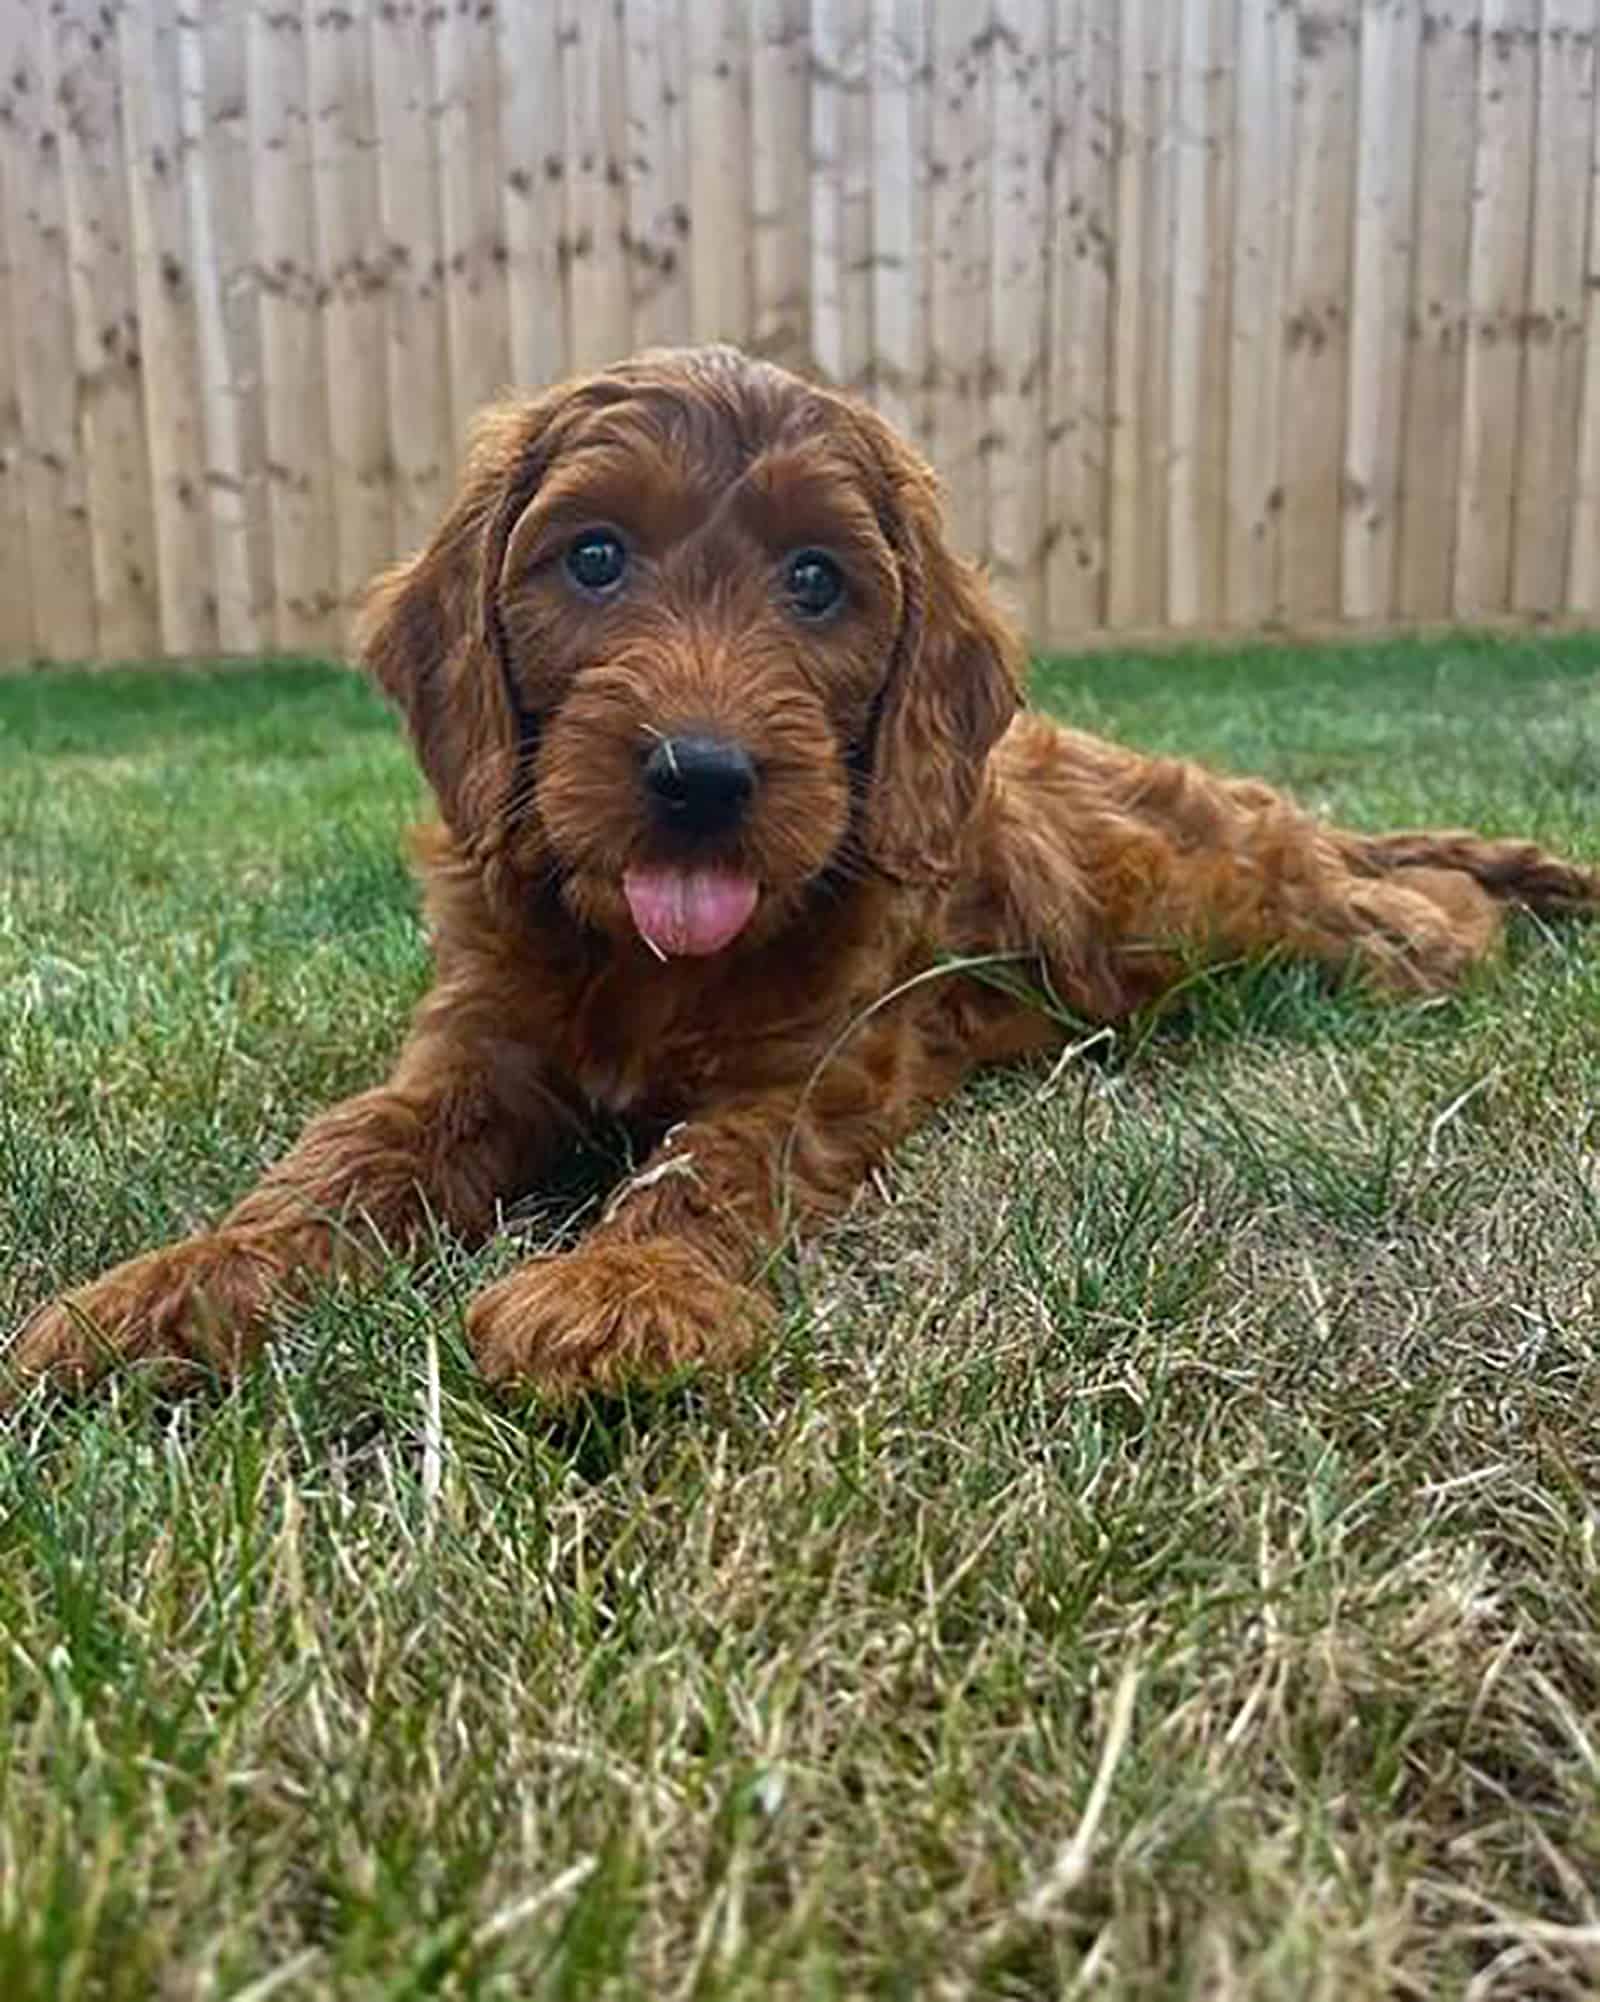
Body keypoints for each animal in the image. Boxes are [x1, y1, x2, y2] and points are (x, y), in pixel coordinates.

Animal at [12, 344, 1600, 1401]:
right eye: (593, 557)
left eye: (818, 580)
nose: (702, 775)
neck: (642, 960)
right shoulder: (471, 1049)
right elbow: (342, 1155)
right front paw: (167, 1289)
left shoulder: (820, 1062)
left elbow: (709, 1165)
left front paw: (616, 1289)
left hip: (1278, 917)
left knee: (1427, 915)